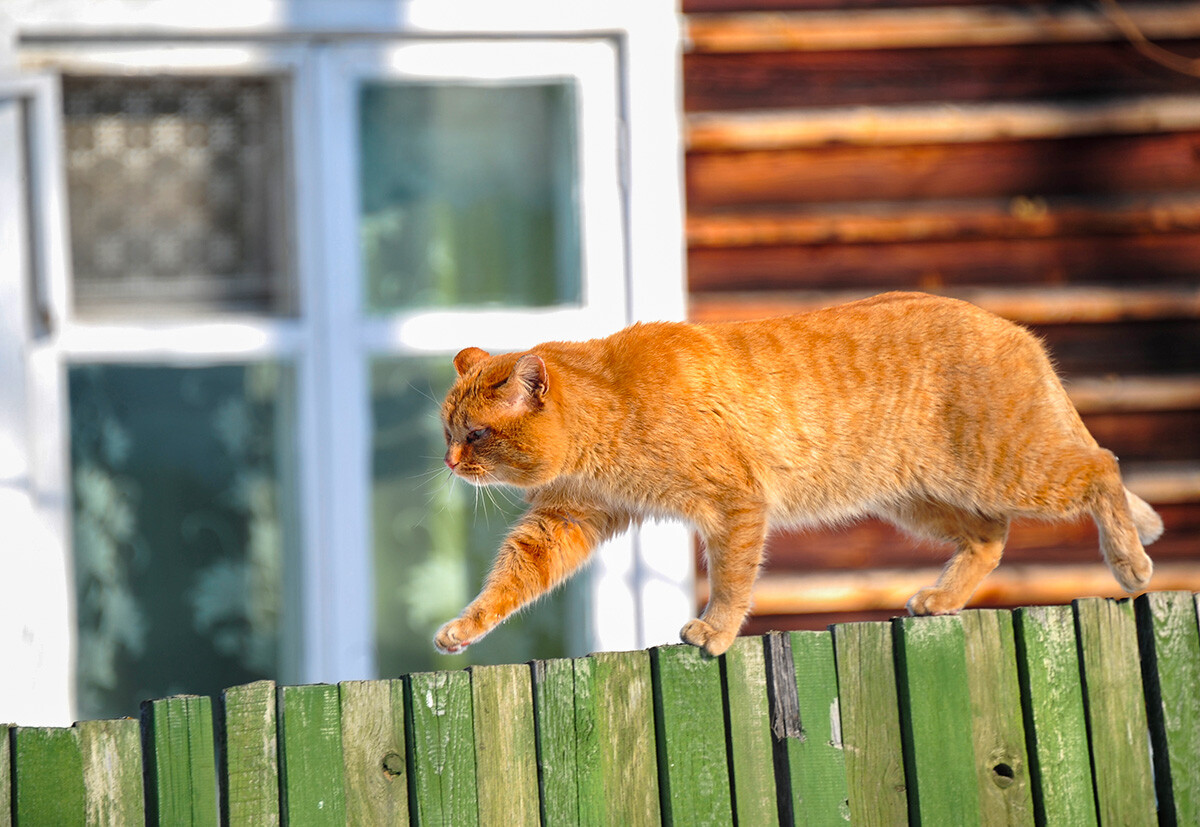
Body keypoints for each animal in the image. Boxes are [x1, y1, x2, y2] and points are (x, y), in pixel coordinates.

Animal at [432, 294, 1152, 652]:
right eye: (447, 431)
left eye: (476, 434)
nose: (449, 461)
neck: (610, 406)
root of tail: (1017, 330)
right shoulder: (567, 518)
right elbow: (506, 584)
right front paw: (462, 630)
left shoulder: (734, 504)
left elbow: (731, 580)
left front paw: (715, 631)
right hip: (918, 497)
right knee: (990, 536)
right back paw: (942, 598)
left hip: (1007, 466)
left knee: (1103, 467)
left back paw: (1130, 564)